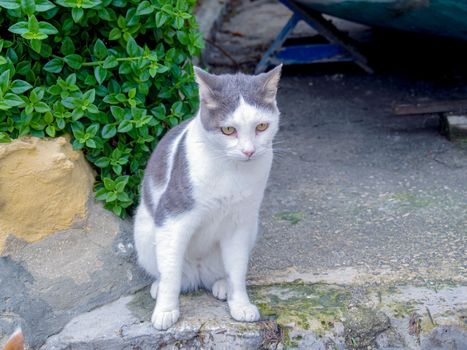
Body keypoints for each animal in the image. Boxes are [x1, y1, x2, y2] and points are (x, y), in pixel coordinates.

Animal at [133, 64, 284, 330]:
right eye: (228, 130)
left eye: (261, 127)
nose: (248, 151)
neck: (231, 169)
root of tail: (198, 273)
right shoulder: (173, 218)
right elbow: (170, 273)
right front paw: (165, 311)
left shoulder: (239, 223)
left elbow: (237, 270)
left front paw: (240, 305)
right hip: (144, 233)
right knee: (170, 271)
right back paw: (160, 287)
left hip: (251, 229)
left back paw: (222, 285)